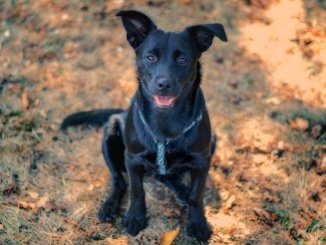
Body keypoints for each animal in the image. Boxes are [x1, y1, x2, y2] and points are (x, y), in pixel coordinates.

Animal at [61, 10, 227, 241]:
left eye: (183, 59)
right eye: (150, 57)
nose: (164, 84)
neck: (166, 120)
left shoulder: (202, 160)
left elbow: (197, 194)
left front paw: (198, 223)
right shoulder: (133, 159)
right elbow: (137, 190)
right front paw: (135, 217)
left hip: (213, 140)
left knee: (167, 176)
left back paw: (181, 191)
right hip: (110, 134)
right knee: (119, 180)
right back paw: (110, 206)